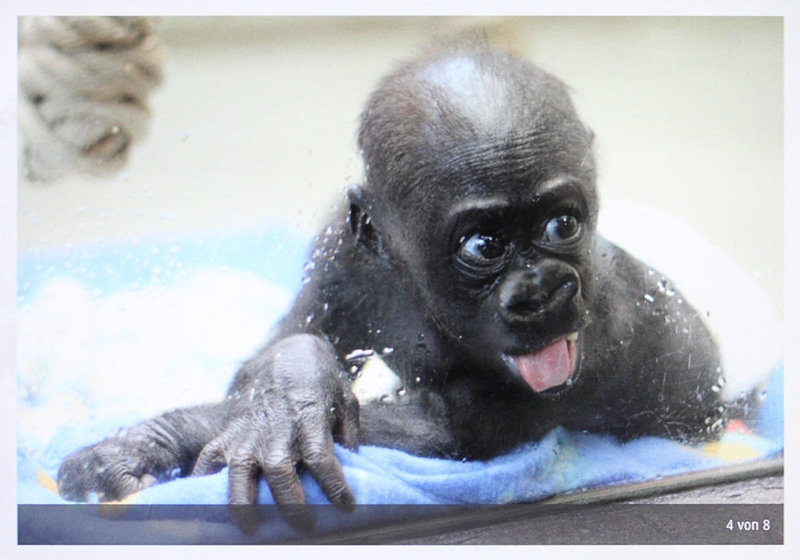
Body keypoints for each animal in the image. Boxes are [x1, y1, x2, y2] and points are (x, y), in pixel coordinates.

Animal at [57, 46, 724, 520]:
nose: (542, 291)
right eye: (483, 246)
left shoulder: (604, 330)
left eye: (562, 225)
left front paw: (186, 433)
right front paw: (292, 384)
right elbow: (282, 345)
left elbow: (428, 433)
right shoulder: (341, 245)